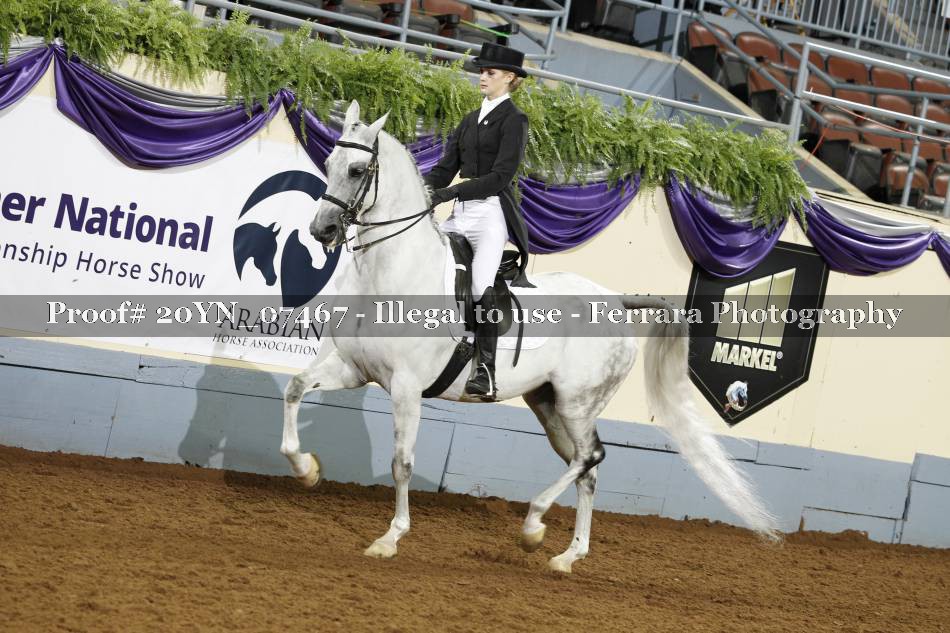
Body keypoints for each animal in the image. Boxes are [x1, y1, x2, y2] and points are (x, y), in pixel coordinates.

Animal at [280, 101, 780, 573]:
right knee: (585, 467)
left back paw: (533, 526)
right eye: (329, 164)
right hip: (549, 404)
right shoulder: (353, 368)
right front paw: (306, 470)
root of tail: (616, 302)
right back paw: (566, 556)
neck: (392, 271)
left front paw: (390, 538)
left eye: (357, 170)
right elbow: (296, 388)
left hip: (578, 402)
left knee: (591, 456)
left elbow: (401, 462)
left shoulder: (406, 387)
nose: (322, 230)